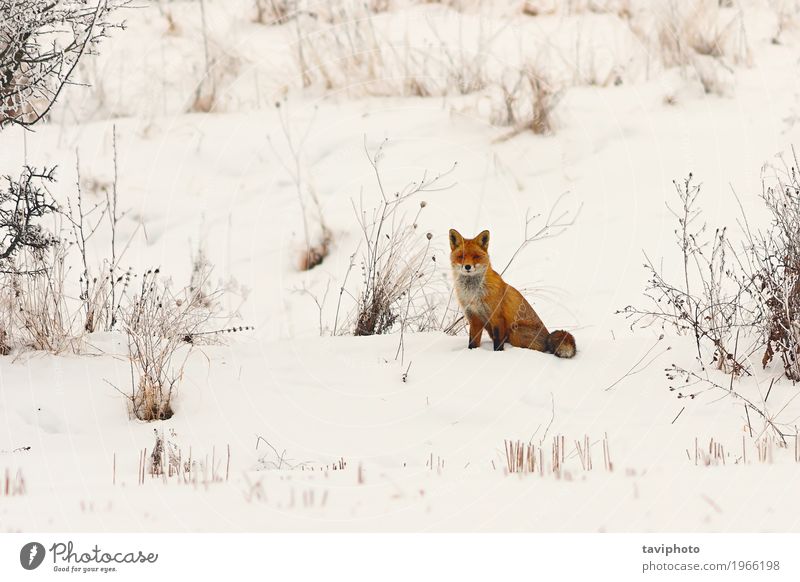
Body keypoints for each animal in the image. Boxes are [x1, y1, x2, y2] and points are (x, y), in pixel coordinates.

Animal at [450, 229, 576, 358]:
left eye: (476, 256)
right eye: (461, 256)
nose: (467, 267)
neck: (473, 294)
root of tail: (547, 336)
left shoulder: (497, 317)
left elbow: (498, 344)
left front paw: (498, 355)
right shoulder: (474, 318)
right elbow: (472, 343)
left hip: (514, 331)